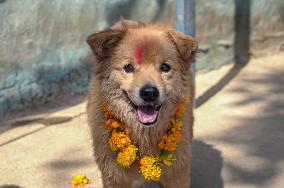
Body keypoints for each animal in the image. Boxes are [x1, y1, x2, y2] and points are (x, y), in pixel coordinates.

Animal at [86, 19, 197, 188]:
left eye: (165, 67)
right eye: (128, 67)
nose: (149, 93)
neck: (144, 135)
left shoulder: (177, 174)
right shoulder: (114, 177)